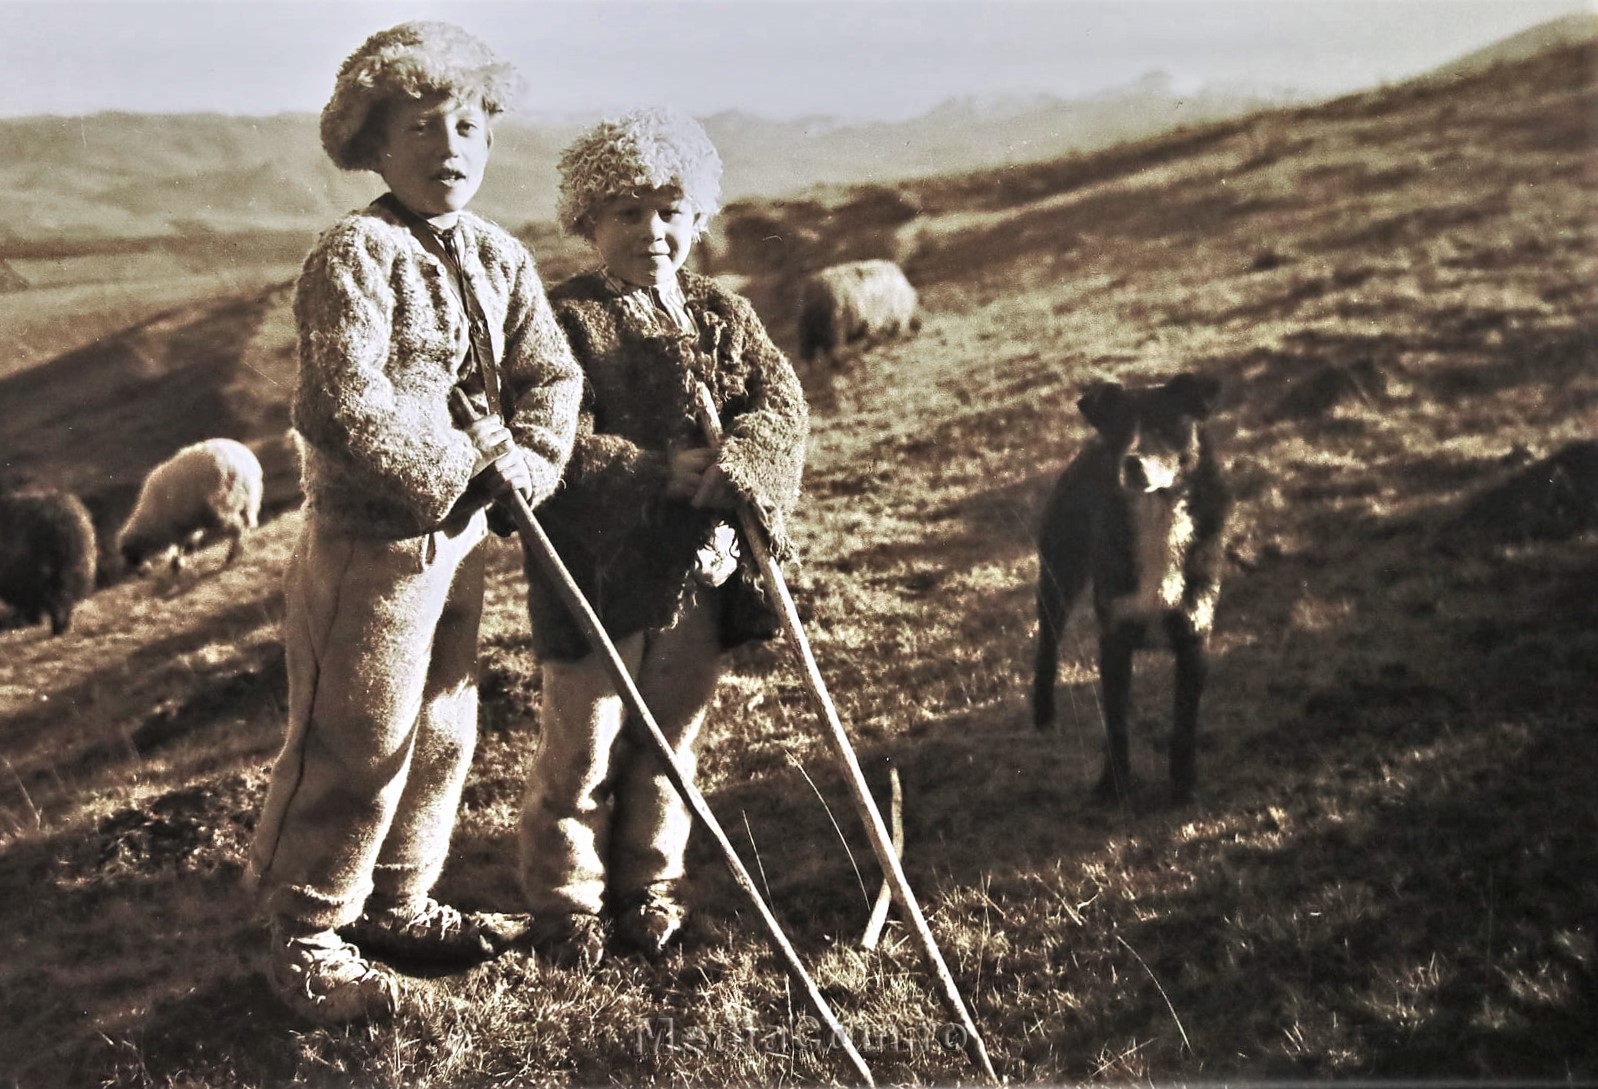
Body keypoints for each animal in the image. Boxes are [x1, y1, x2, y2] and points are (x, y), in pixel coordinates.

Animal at [117, 438, 264, 574]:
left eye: (130, 556)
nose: (141, 574)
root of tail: (239, 467)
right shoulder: (186, 524)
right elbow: (186, 542)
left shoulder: (175, 526)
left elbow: (178, 545)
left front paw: (177, 564)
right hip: (249, 500)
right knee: (248, 523)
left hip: (222, 506)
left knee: (237, 528)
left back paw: (231, 556)